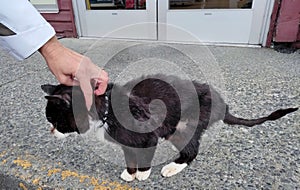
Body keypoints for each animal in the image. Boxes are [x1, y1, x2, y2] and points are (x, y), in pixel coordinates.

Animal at [41, 74, 296, 181]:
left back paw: (173, 167)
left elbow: (145, 154)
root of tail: (223, 105)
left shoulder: (148, 135)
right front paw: (130, 173)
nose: (50, 131)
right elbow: (129, 156)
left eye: (54, 120)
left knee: (192, 150)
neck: (105, 109)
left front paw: (142, 174)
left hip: (183, 125)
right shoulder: (126, 142)